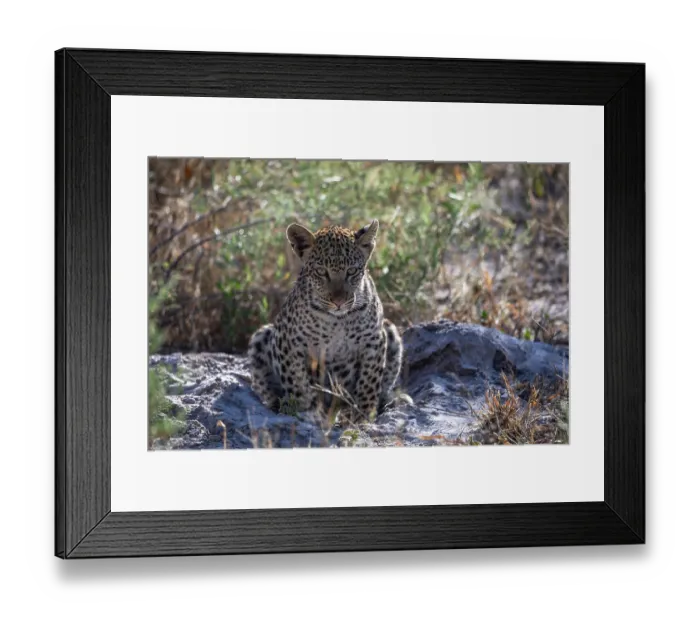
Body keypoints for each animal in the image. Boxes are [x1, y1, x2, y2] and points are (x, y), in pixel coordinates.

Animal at [248, 219, 402, 421]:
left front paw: (363, 415)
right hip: (262, 335)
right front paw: (304, 412)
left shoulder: (374, 340)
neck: (337, 321)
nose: (338, 302)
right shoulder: (289, 342)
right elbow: (297, 381)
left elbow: (369, 381)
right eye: (321, 272)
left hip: (390, 330)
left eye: (352, 271)